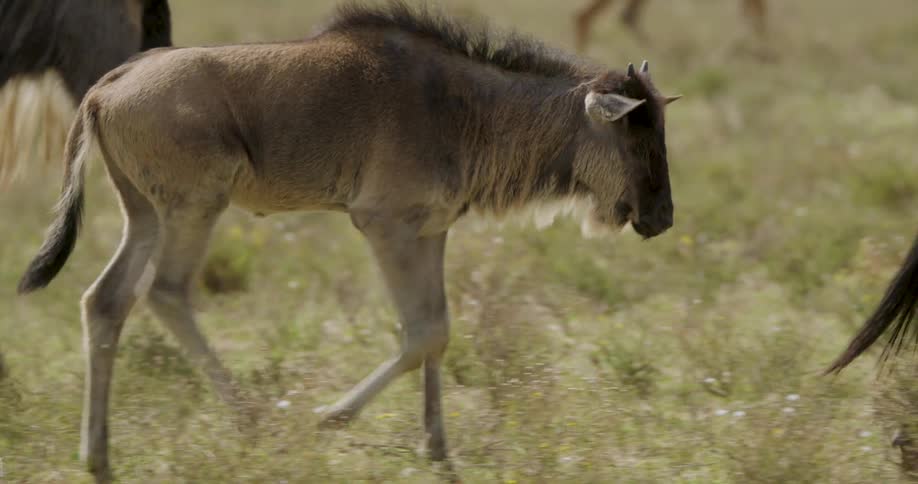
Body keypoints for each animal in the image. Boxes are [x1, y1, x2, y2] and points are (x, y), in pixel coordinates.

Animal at [18, 2, 681, 481]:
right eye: (635, 138)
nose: (663, 218)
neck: (468, 108)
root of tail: (107, 85)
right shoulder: (383, 223)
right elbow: (422, 332)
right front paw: (330, 417)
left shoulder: (431, 229)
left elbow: (439, 331)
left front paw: (437, 447)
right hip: (194, 206)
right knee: (167, 293)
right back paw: (252, 420)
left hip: (146, 214)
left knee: (106, 300)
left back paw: (98, 456)